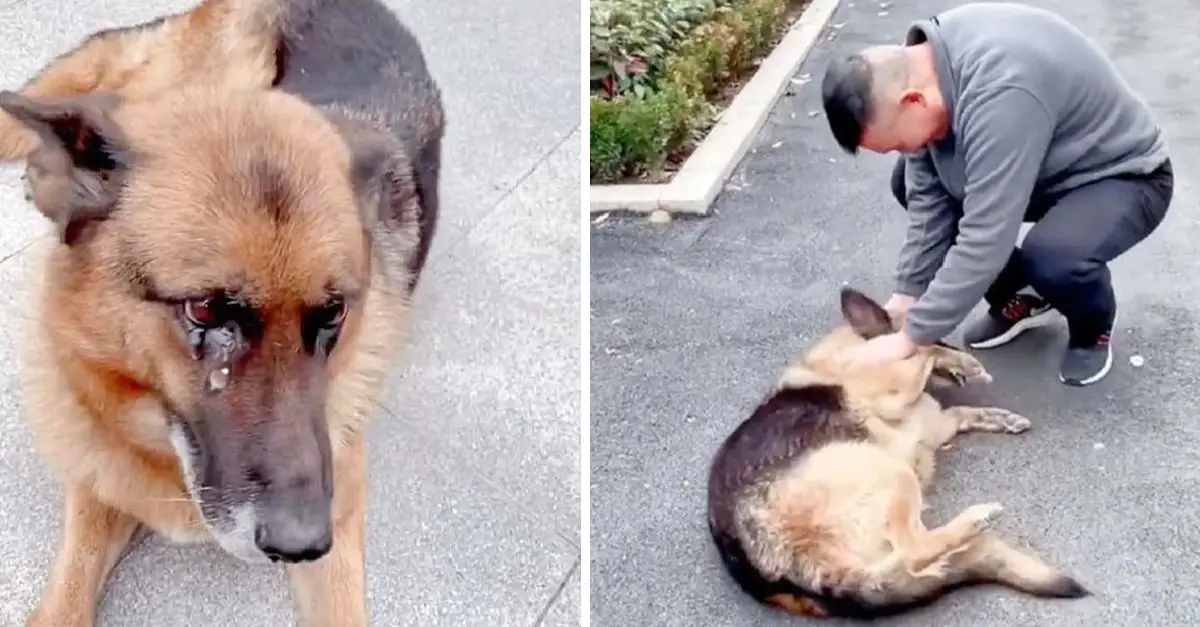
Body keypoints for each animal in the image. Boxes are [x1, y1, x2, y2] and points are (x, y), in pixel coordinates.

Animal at [700, 289, 1089, 619]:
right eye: (941, 336)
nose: (960, 353)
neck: (851, 349)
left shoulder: (936, 424)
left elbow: (962, 411)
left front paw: (999, 416)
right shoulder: (898, 388)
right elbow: (922, 353)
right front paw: (960, 360)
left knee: (911, 558)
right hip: (889, 472)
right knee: (913, 551)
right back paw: (974, 520)